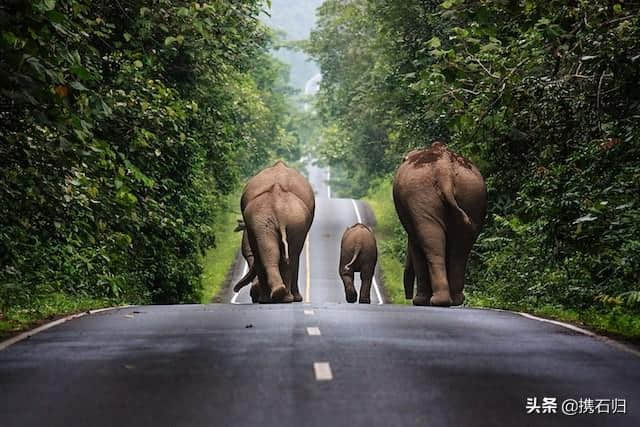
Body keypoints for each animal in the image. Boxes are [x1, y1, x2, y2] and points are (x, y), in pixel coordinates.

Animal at [235, 161, 316, 304]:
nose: (235, 289)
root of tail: (278, 207)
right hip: (272, 221)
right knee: (286, 254)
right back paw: (280, 296)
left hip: (280, 221)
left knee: (283, 253)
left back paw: (278, 296)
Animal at [392, 144, 488, 308]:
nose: (407, 297)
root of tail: (445, 170)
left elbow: (416, 246)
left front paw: (419, 302)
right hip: (470, 195)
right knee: (459, 249)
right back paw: (454, 301)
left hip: (423, 194)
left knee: (434, 246)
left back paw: (437, 301)